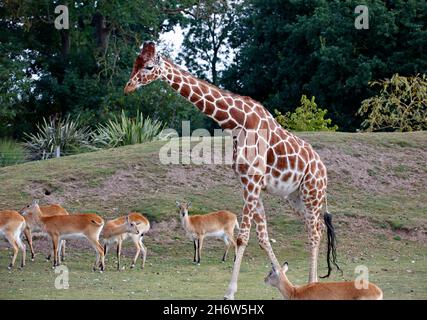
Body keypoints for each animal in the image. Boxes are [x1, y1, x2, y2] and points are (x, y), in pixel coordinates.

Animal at [123, 41, 342, 298]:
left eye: (148, 66)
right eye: (135, 62)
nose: (128, 87)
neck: (236, 123)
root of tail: (323, 170)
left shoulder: (253, 181)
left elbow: (242, 238)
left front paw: (230, 292)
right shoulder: (248, 183)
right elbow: (263, 237)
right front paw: (279, 275)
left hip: (312, 192)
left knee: (315, 231)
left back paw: (313, 282)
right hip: (295, 197)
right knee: (315, 226)